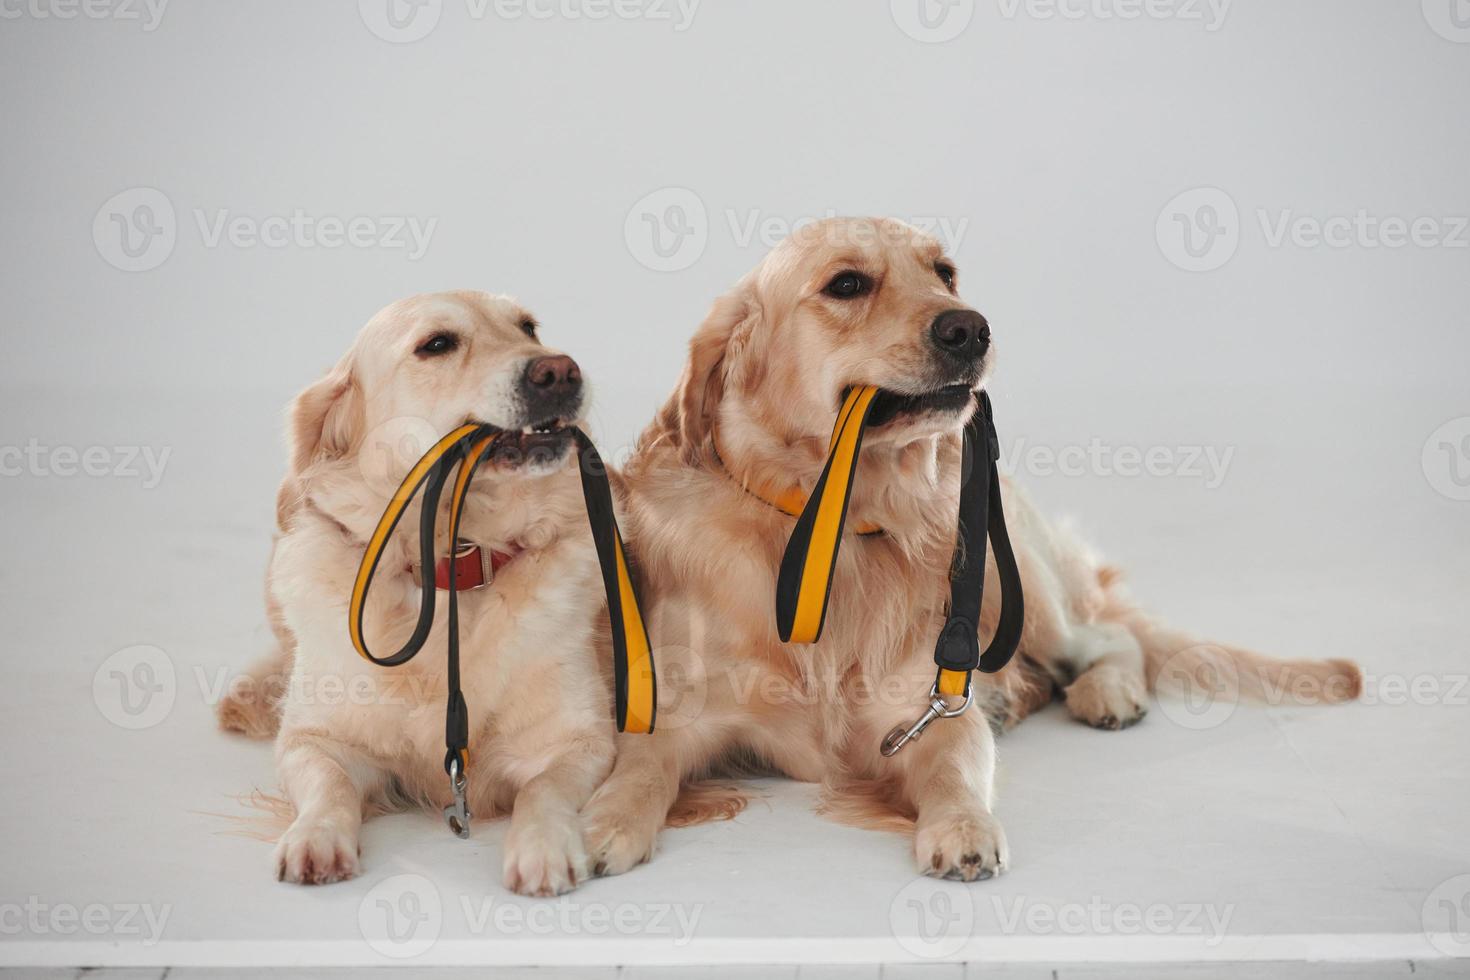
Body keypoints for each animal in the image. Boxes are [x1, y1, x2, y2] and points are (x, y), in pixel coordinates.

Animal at [576, 214, 1364, 881]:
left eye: (944, 272)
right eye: (847, 284)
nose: (971, 329)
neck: (838, 533)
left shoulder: (921, 710)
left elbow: (957, 762)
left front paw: (962, 829)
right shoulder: (682, 708)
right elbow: (640, 765)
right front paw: (603, 823)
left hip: (1019, 586)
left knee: (1113, 638)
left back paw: (1105, 692)